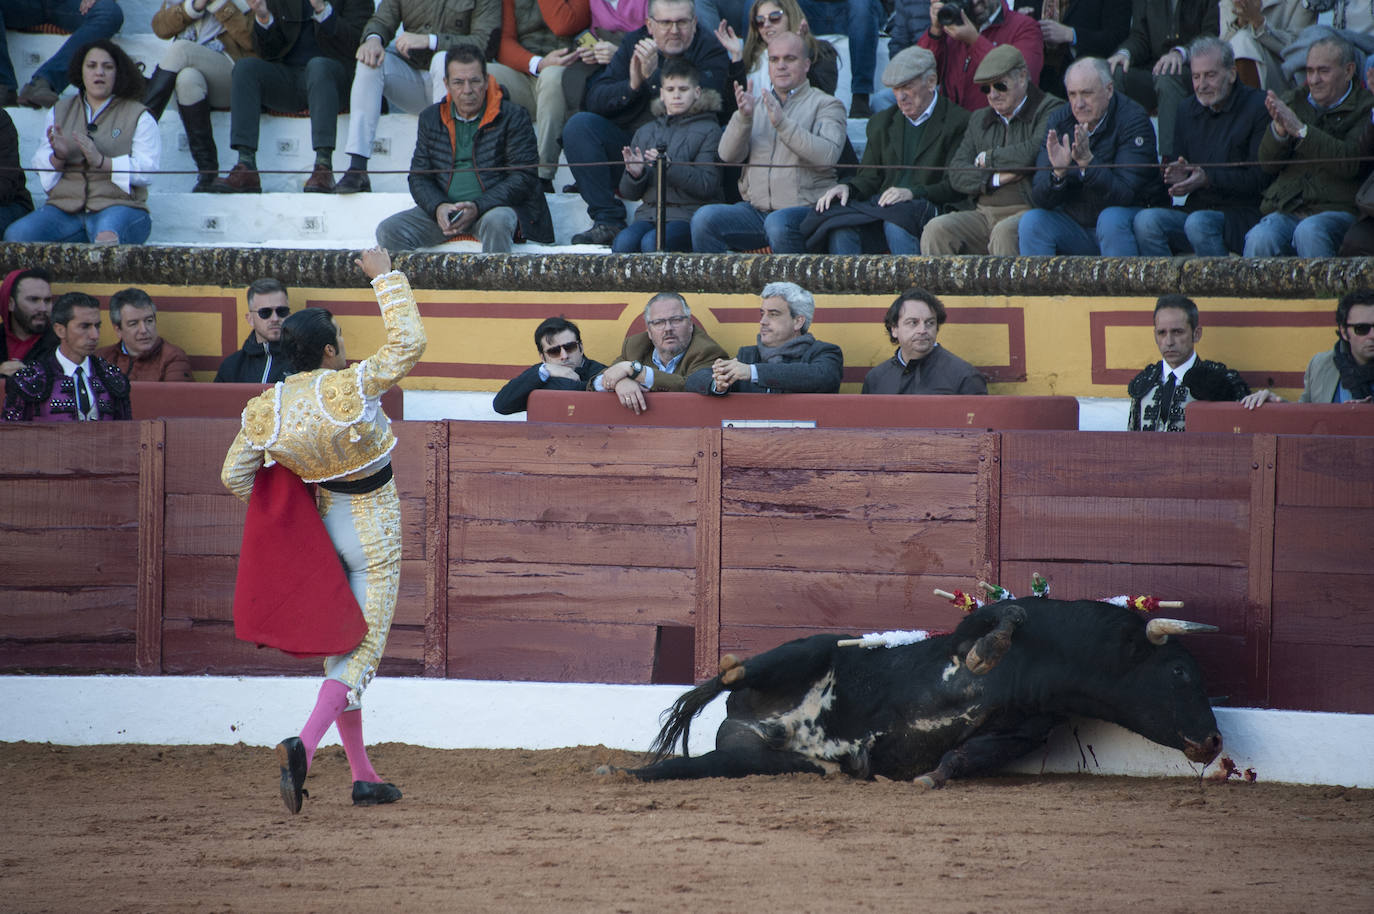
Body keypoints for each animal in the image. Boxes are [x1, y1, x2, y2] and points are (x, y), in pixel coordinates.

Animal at [632, 599, 1225, 786]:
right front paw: (986, 654)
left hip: (773, 763)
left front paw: (930, 777)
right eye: (1179, 671)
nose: (1214, 741)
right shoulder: (973, 625)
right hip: (803, 651)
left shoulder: (1022, 732)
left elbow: (965, 756)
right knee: (733, 674)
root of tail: (743, 721)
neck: (1051, 663)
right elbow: (1007, 617)